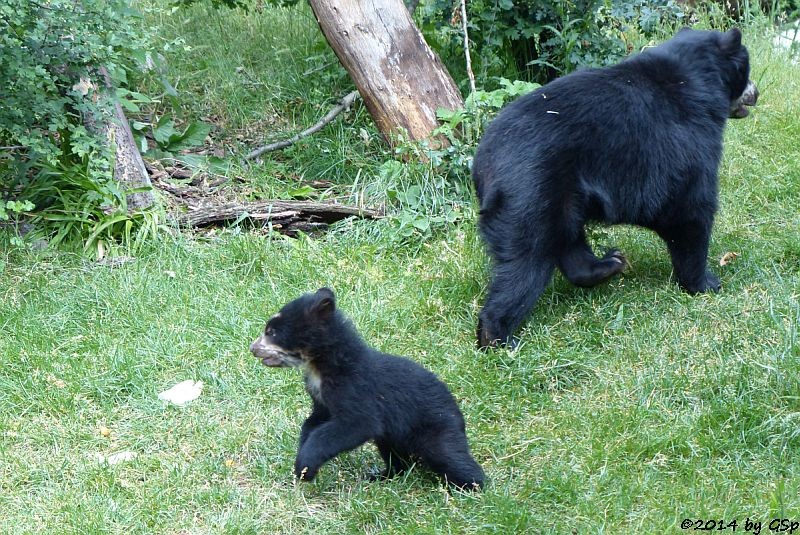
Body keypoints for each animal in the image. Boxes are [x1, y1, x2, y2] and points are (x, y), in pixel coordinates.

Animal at [253, 288, 484, 490]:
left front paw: (305, 467)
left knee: (449, 455)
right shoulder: (321, 396)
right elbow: (314, 421)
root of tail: (458, 415)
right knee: (398, 457)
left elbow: (357, 423)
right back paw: (382, 475)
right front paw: (301, 459)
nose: (252, 348)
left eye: (272, 332)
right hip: (393, 436)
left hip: (437, 428)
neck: (321, 366)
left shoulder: (353, 388)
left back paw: (473, 486)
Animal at [472, 29, 760, 350]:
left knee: (566, 242)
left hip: (560, 196)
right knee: (526, 261)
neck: (696, 78)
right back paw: (499, 338)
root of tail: (483, 165)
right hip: (531, 194)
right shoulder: (685, 143)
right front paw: (706, 283)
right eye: (746, 71)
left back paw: (610, 263)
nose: (756, 92)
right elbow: (691, 211)